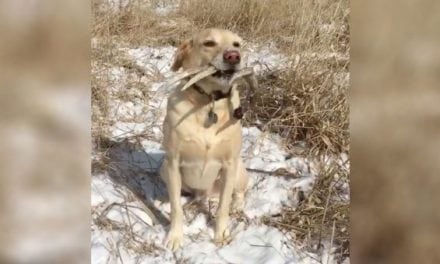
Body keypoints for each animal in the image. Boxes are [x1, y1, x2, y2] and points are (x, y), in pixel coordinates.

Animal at [161, 28, 251, 250]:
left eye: (237, 44)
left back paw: (237, 206)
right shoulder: (173, 162)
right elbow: (176, 207)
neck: (208, 102)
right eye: (209, 43)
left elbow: (223, 208)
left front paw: (221, 235)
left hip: (239, 170)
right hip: (163, 169)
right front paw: (175, 237)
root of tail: (204, 194)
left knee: (240, 193)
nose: (233, 57)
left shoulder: (229, 165)